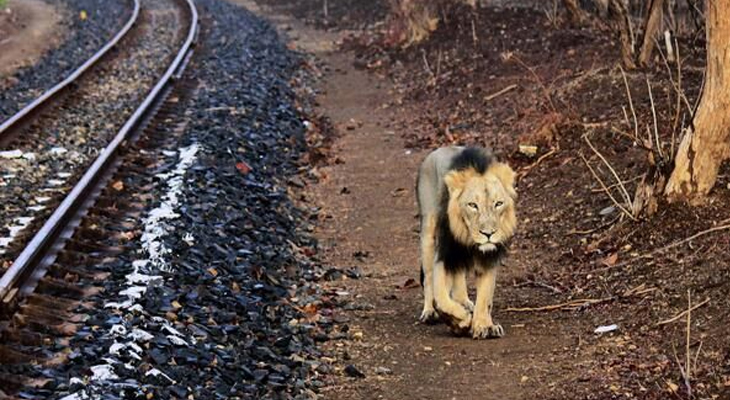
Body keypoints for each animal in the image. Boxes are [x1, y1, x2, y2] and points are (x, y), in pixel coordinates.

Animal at [418, 146, 516, 338]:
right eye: (472, 205)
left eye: (498, 203)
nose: (488, 233)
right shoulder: (445, 255)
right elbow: (441, 298)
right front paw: (461, 321)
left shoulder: (488, 258)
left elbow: (485, 297)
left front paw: (485, 326)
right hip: (428, 233)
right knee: (428, 278)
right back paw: (429, 312)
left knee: (459, 276)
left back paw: (464, 302)